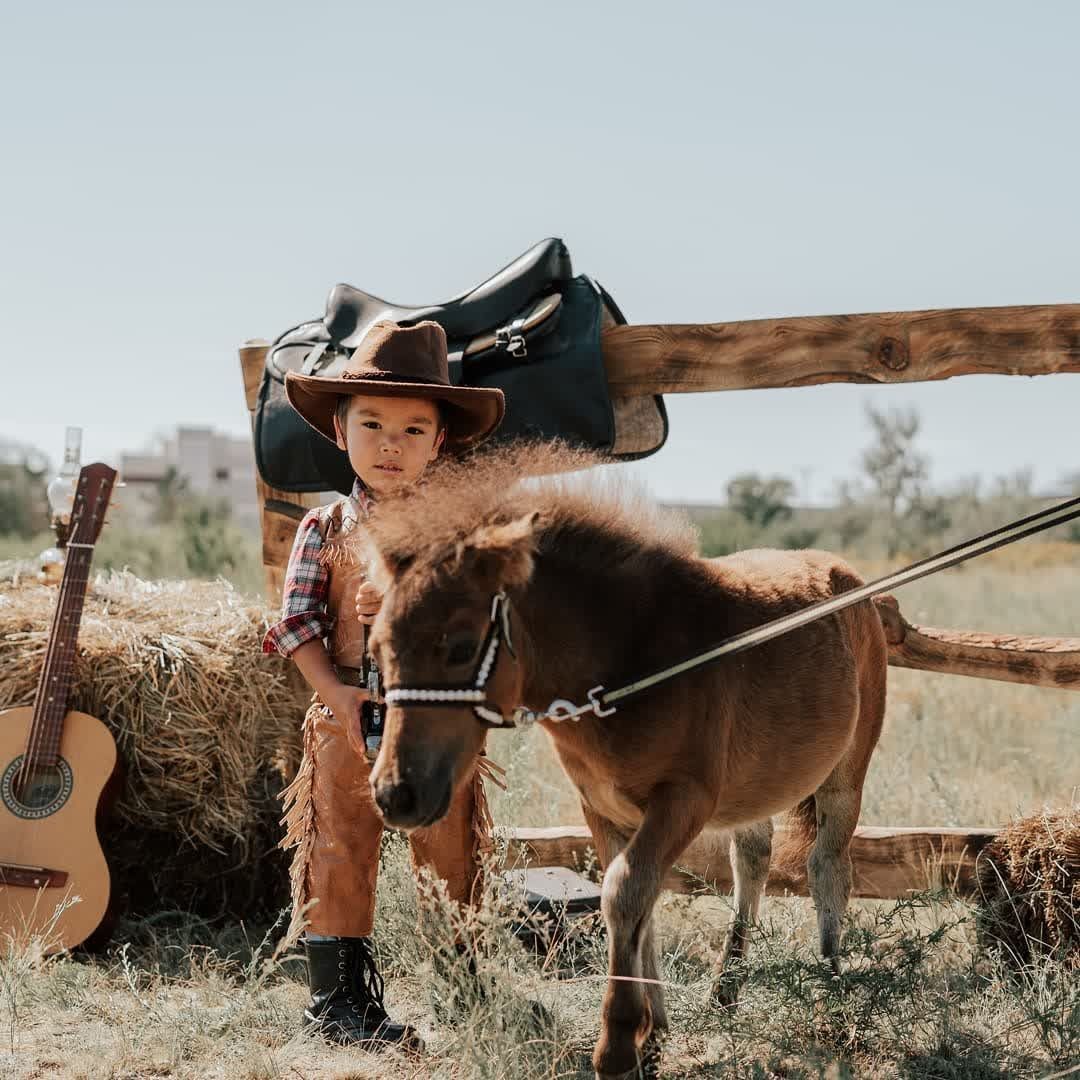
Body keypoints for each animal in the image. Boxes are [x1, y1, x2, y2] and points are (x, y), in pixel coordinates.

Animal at [360, 447, 885, 1080]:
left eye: (461, 646)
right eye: (378, 647)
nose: (396, 794)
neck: (630, 660)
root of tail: (848, 579)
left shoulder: (682, 800)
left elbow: (624, 893)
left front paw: (616, 1046)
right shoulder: (604, 807)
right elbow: (640, 901)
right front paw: (652, 1037)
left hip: (845, 776)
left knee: (827, 865)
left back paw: (831, 988)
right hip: (754, 785)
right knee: (753, 858)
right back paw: (726, 988)